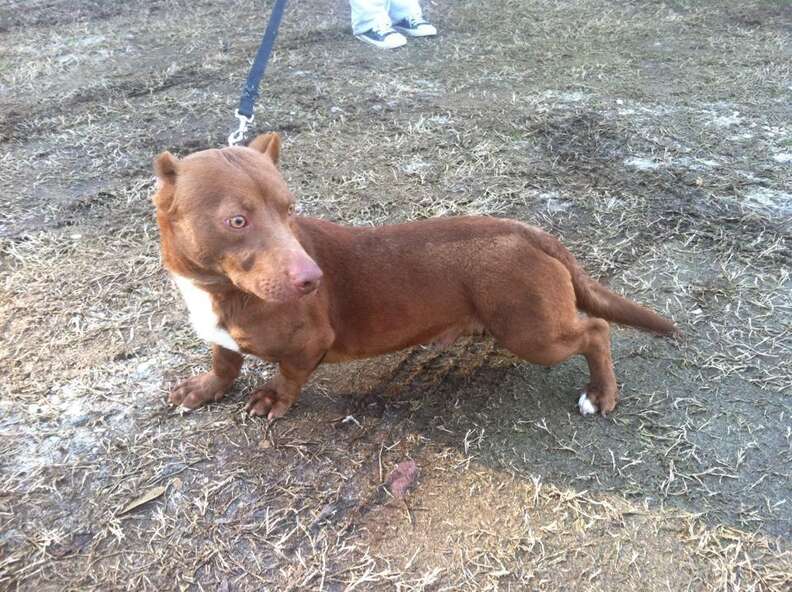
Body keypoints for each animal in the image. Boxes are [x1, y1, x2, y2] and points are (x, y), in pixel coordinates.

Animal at [153, 134, 676, 420]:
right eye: (237, 221)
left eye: (289, 209)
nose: (312, 280)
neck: (218, 291)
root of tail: (530, 232)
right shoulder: (220, 337)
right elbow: (225, 362)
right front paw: (204, 388)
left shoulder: (309, 344)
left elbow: (287, 376)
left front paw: (271, 400)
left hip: (533, 332)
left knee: (597, 330)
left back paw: (601, 394)